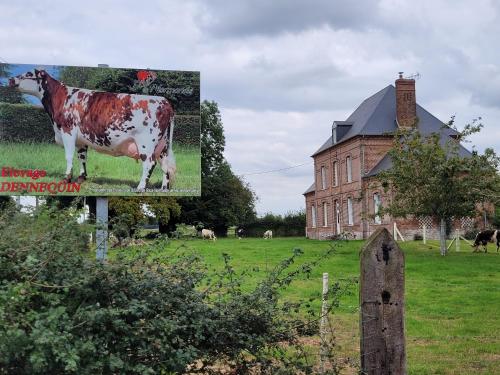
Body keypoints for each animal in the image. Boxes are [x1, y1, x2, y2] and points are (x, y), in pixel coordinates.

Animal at [7, 69, 177, 191]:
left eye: (29, 74)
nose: (10, 79)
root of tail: (164, 101)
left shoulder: (68, 131)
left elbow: (69, 156)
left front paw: (66, 178)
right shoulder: (80, 139)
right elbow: (82, 157)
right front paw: (81, 178)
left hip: (146, 143)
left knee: (149, 163)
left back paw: (140, 187)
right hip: (163, 145)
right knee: (165, 166)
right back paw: (164, 188)